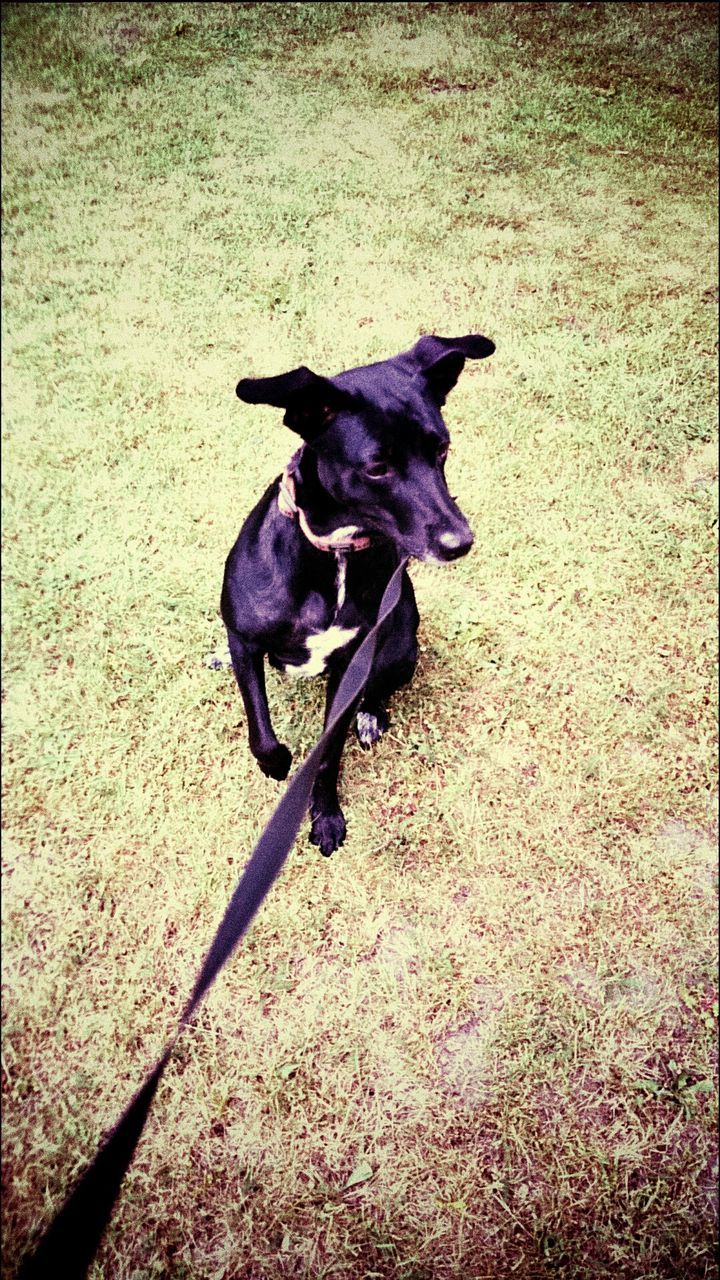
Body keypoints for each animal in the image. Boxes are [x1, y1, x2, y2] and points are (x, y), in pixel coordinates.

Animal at [220, 335, 491, 855]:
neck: (336, 555)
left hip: (402, 644)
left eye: (442, 449)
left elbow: (328, 755)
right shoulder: (244, 639)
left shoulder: (350, 666)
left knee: (381, 688)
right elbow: (260, 730)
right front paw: (276, 762)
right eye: (377, 468)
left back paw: (371, 716)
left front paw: (324, 815)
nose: (460, 542)